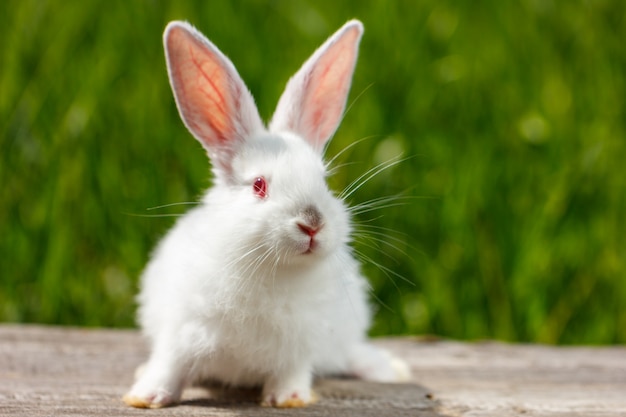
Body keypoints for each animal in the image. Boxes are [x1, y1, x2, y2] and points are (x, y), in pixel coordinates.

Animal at [123, 18, 410, 406]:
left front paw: (288, 398)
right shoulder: (180, 329)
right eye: (259, 185)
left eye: (323, 181)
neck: (271, 269)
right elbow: (170, 365)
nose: (312, 224)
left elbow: (291, 370)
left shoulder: (300, 345)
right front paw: (146, 396)